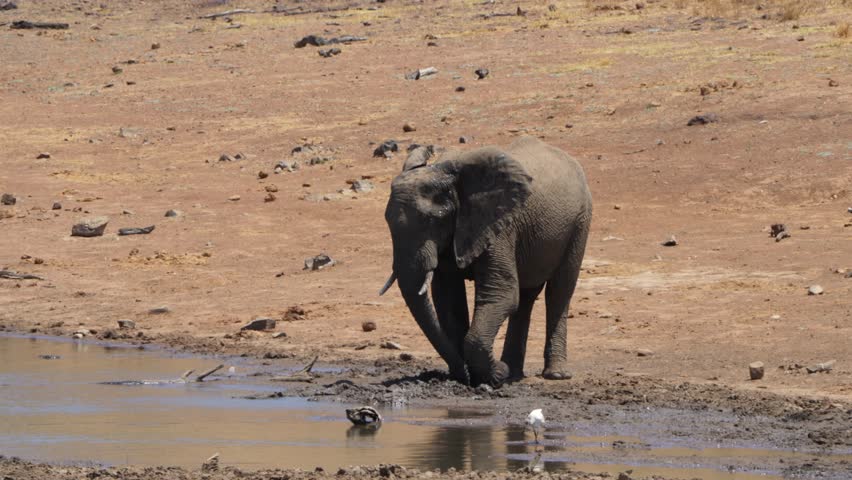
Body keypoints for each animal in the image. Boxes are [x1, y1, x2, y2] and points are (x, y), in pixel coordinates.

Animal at [380, 136, 592, 387]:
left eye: (432, 220)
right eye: (387, 221)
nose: (462, 375)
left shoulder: (497, 226)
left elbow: (501, 293)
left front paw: (494, 374)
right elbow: (449, 300)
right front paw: (476, 376)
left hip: (580, 221)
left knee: (559, 291)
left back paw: (554, 375)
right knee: (526, 297)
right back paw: (514, 373)